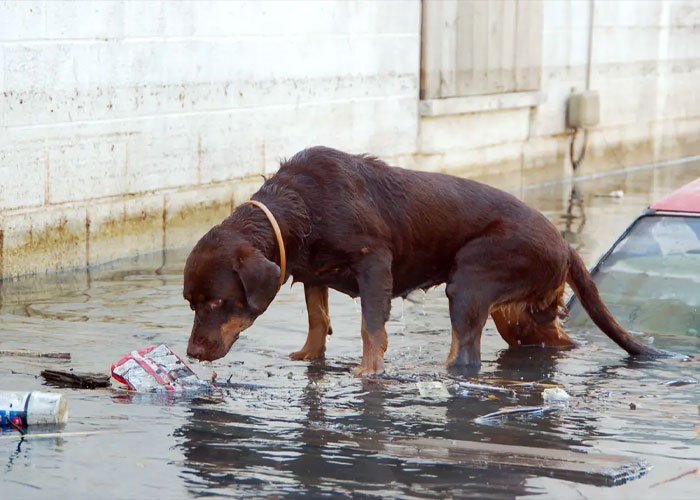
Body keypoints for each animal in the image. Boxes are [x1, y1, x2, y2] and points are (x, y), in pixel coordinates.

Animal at [183, 146, 664, 374]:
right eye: (192, 303)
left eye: (217, 302)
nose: (191, 352)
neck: (297, 208)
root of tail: (565, 246)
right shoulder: (311, 272)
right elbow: (318, 320)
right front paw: (308, 356)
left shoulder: (374, 262)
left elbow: (371, 328)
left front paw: (368, 372)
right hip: (520, 314)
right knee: (554, 340)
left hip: (470, 279)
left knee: (466, 354)